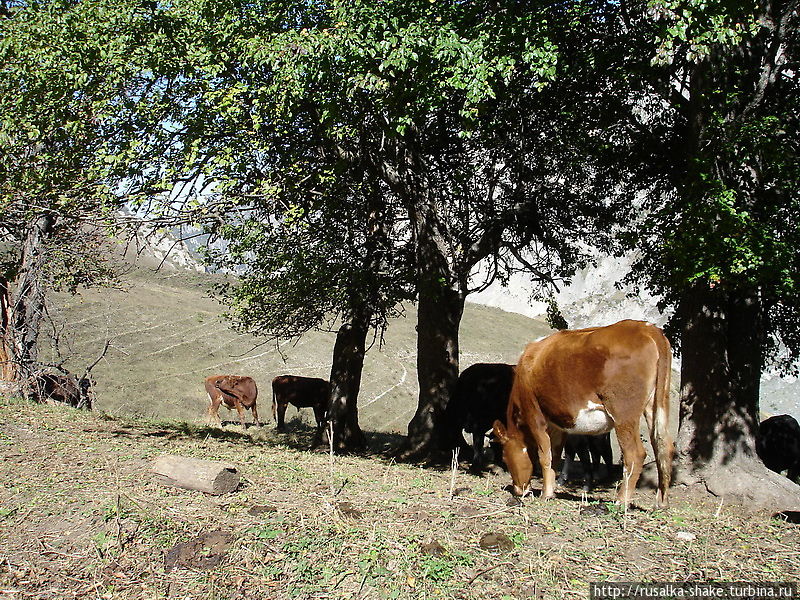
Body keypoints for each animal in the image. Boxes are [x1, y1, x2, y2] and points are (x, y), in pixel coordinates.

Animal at [490, 322, 672, 508]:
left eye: (504, 457)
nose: (518, 490)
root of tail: (646, 328)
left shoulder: (535, 416)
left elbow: (545, 455)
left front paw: (545, 494)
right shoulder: (558, 424)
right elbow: (555, 454)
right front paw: (551, 490)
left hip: (624, 413)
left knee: (634, 454)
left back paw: (621, 500)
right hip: (657, 405)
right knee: (663, 447)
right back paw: (661, 502)